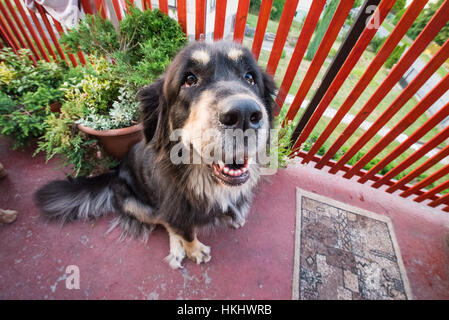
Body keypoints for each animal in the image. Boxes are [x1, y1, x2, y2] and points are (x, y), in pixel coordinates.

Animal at [34, 40, 276, 270]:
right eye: (189, 80)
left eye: (250, 77)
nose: (244, 114)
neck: (200, 178)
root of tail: (115, 172)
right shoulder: (174, 208)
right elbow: (185, 231)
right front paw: (194, 250)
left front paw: (234, 212)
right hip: (138, 205)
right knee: (164, 222)